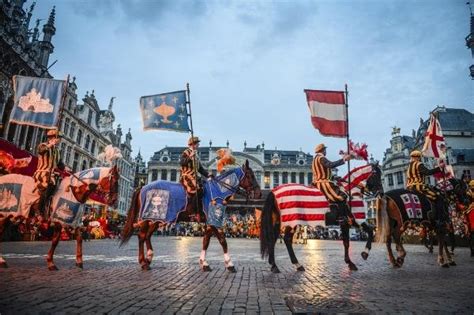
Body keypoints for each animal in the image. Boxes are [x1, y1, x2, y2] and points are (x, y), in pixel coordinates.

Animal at [120, 160, 262, 272]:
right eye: (250, 175)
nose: (259, 193)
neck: (218, 190)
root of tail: (142, 187)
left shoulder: (210, 222)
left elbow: (206, 242)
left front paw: (204, 263)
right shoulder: (214, 220)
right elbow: (223, 241)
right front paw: (230, 264)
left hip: (156, 219)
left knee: (147, 235)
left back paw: (148, 258)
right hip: (148, 218)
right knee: (142, 236)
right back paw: (143, 262)